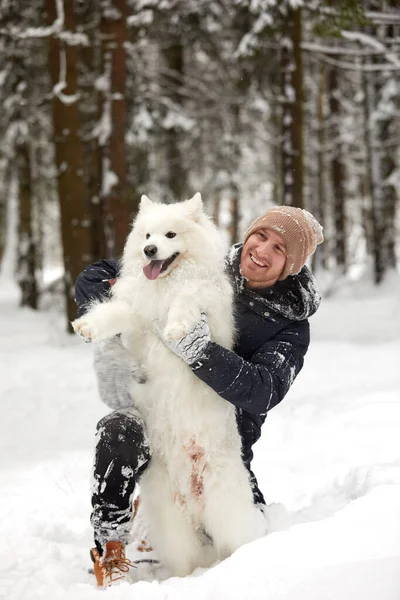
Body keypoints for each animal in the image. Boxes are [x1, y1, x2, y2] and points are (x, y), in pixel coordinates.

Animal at [72, 193, 266, 576]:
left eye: (171, 235)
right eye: (147, 235)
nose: (149, 250)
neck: (164, 285)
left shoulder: (201, 299)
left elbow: (186, 303)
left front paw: (177, 330)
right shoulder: (134, 310)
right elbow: (113, 313)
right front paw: (87, 327)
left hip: (225, 505)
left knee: (237, 540)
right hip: (171, 521)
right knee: (185, 558)